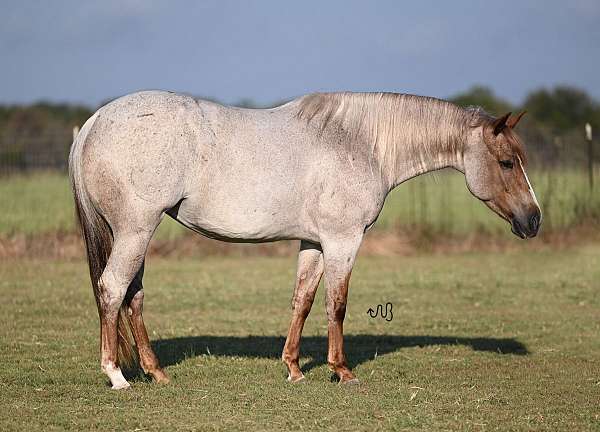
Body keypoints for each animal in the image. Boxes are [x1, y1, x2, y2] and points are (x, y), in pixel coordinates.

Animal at [68, 90, 540, 388]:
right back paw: (116, 376)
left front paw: (294, 369)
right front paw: (342, 371)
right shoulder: (343, 240)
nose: (533, 220)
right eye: (506, 162)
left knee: (133, 296)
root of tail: (94, 122)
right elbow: (337, 304)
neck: (360, 142)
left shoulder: (313, 243)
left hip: (135, 234)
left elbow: (304, 300)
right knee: (112, 289)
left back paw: (157, 372)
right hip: (135, 230)